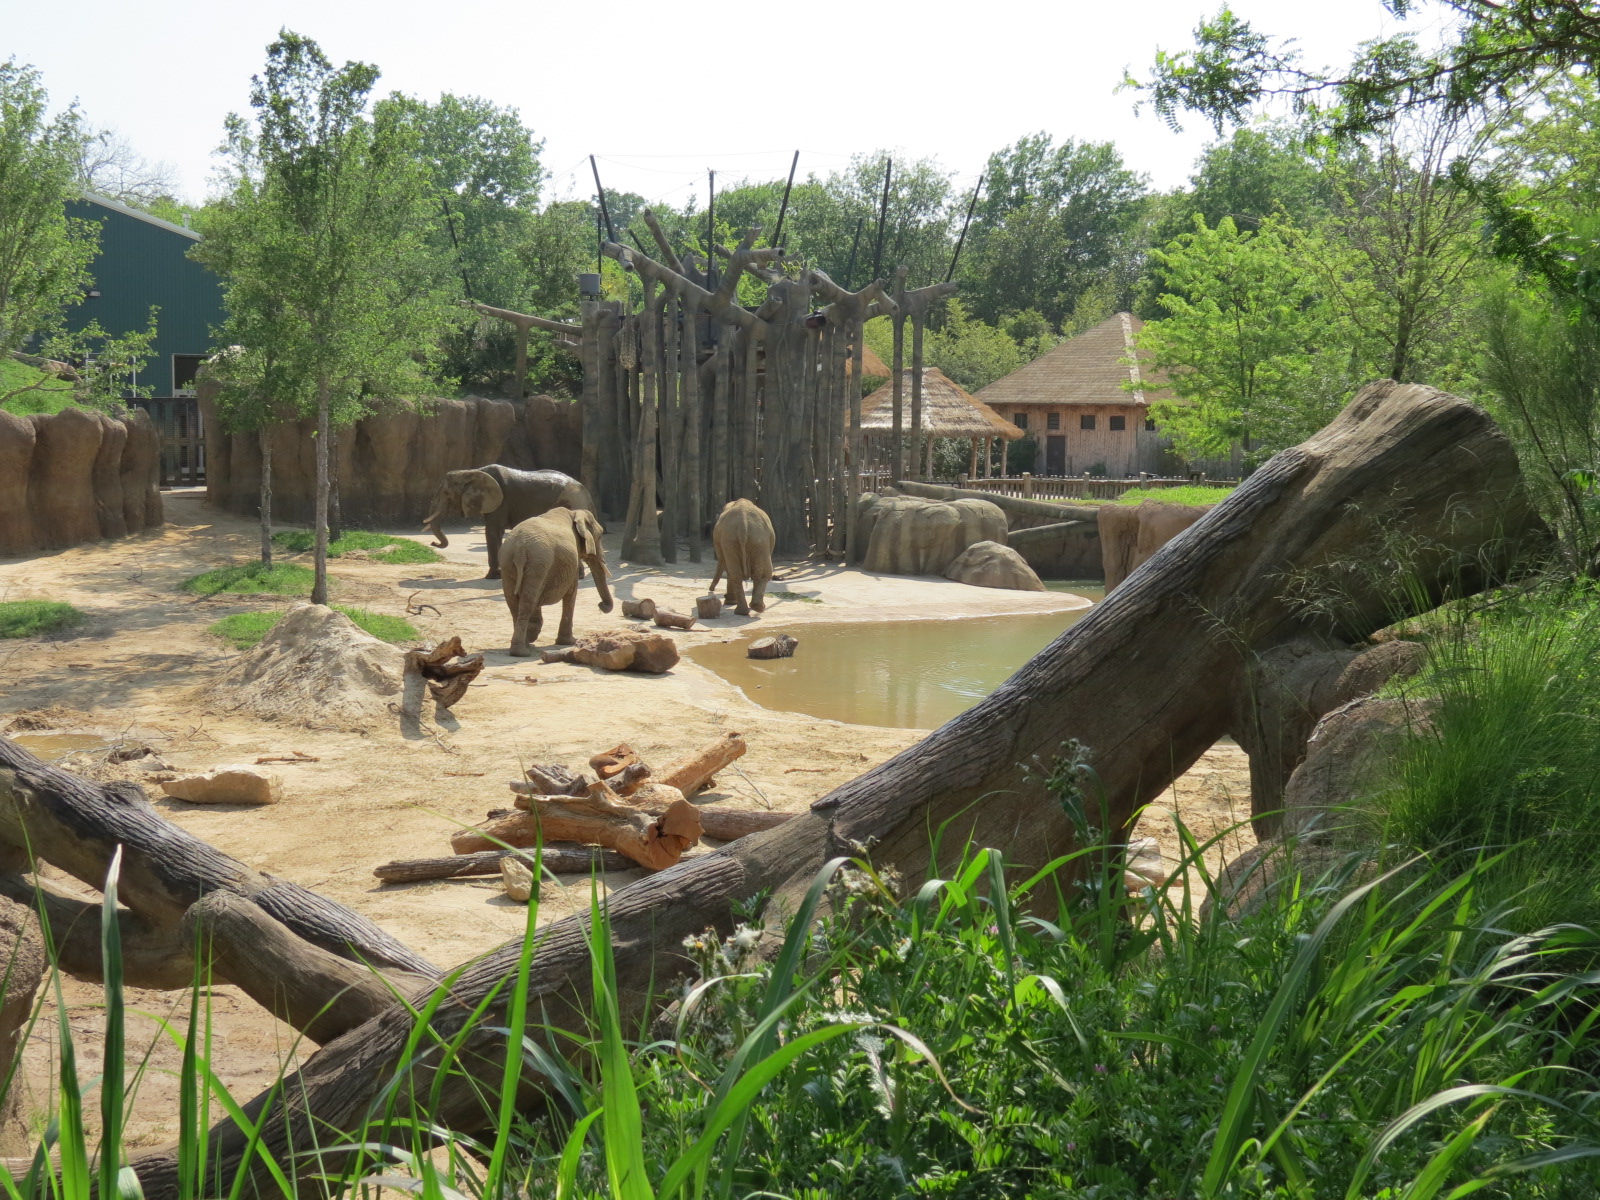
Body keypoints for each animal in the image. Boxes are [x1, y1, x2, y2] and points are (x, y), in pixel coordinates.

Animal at [422, 465, 593, 580]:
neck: (472, 472)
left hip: (572, 503)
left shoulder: (500, 501)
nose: (432, 543)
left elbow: (492, 531)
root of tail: (585, 490)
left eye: (447, 494)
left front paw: (492, 576)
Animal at [500, 507, 614, 655]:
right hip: (539, 564)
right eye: (599, 536)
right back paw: (521, 652)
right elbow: (571, 592)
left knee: (514, 602)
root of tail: (520, 548)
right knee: (528, 602)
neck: (574, 513)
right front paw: (569, 642)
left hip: (508, 563)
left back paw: (525, 646)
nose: (601, 605)